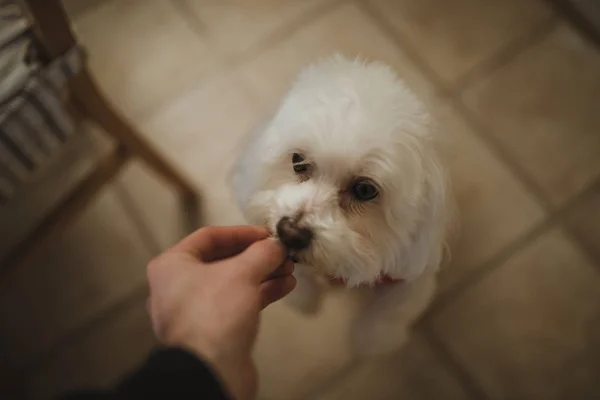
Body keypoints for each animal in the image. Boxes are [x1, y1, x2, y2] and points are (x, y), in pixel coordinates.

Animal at [232, 54, 452, 354]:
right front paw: (305, 298)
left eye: (365, 190)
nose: (290, 233)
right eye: (297, 161)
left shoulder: (412, 273)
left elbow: (389, 312)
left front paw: (370, 340)